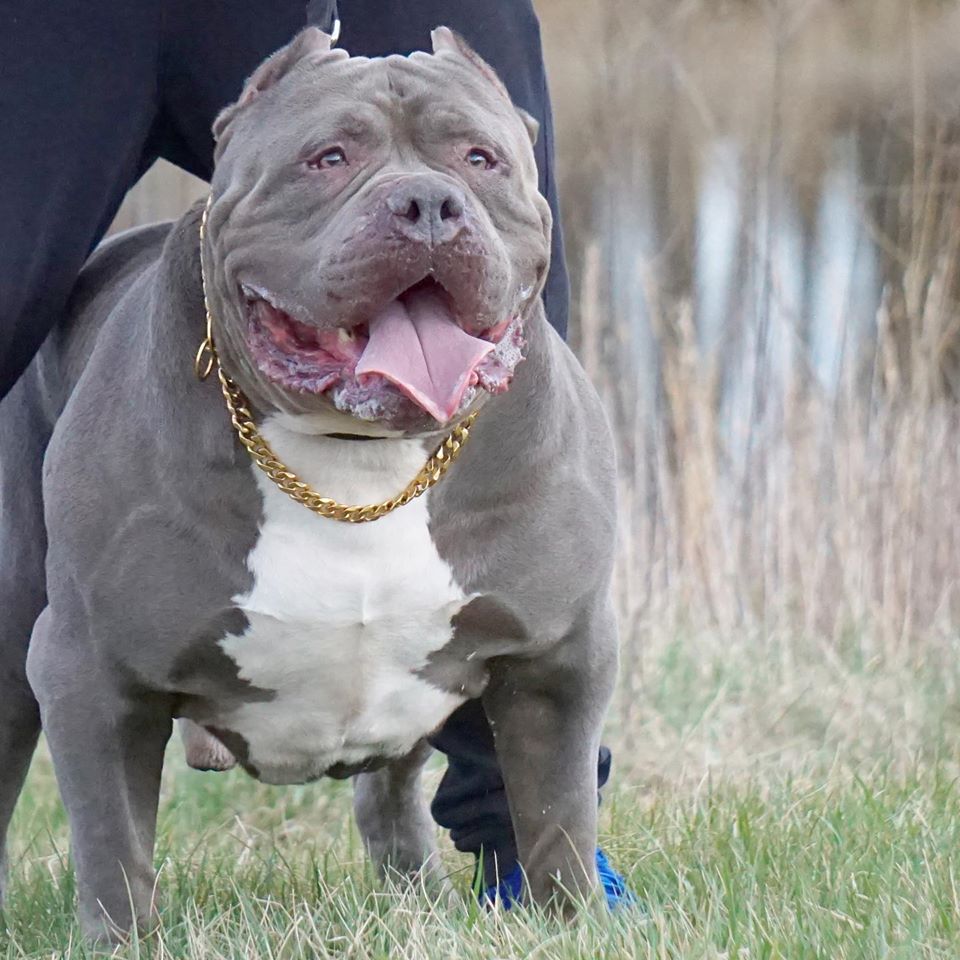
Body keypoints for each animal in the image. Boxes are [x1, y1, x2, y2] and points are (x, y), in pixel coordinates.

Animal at [0, 28, 616, 936]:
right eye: (328, 158)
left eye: (480, 158)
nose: (428, 204)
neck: (358, 461)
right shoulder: (89, 667)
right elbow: (114, 850)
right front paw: (120, 941)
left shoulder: (555, 660)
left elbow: (556, 819)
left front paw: (572, 922)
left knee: (390, 796)